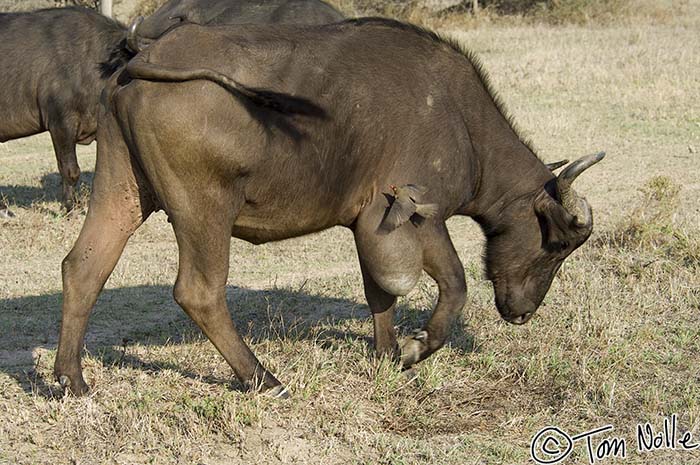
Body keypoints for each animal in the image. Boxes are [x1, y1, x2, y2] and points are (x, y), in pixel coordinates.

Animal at [54, 18, 604, 396]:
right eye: (556, 244)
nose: (522, 313)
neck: (461, 120)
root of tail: (146, 53)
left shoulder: (368, 224)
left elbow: (379, 294)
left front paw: (386, 354)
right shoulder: (422, 216)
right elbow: (454, 286)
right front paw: (415, 348)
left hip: (124, 190)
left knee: (84, 267)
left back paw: (70, 380)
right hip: (202, 208)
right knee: (199, 292)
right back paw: (264, 377)